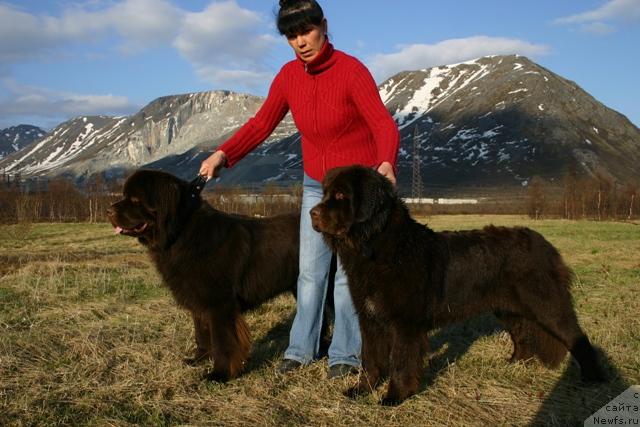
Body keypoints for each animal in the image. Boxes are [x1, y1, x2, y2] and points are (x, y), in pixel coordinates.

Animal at [108, 171, 300, 382]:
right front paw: (199, 359)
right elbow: (202, 334)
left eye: (135, 199)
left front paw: (219, 374)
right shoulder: (198, 300)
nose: (108, 210)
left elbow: (223, 341)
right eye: (124, 196)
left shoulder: (219, 304)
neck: (182, 234)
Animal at [310, 166, 604, 406]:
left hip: (547, 304)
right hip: (508, 308)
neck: (378, 248)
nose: (312, 213)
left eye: (340, 196)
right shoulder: (370, 318)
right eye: (325, 194)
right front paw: (361, 390)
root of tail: (546, 245)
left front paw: (394, 397)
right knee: (522, 335)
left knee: (576, 336)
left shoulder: (404, 323)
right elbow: (371, 358)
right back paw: (513, 364)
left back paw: (592, 378)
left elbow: (401, 361)